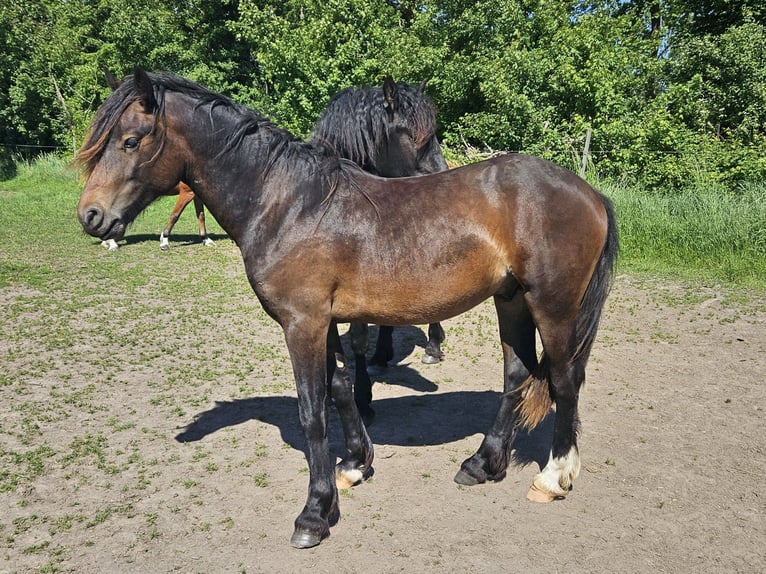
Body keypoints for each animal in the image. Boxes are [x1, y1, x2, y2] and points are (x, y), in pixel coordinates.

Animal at [308, 79, 450, 420]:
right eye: (413, 136)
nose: (443, 176)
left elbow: (358, 339)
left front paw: (362, 398)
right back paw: (382, 355)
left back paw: (433, 346)